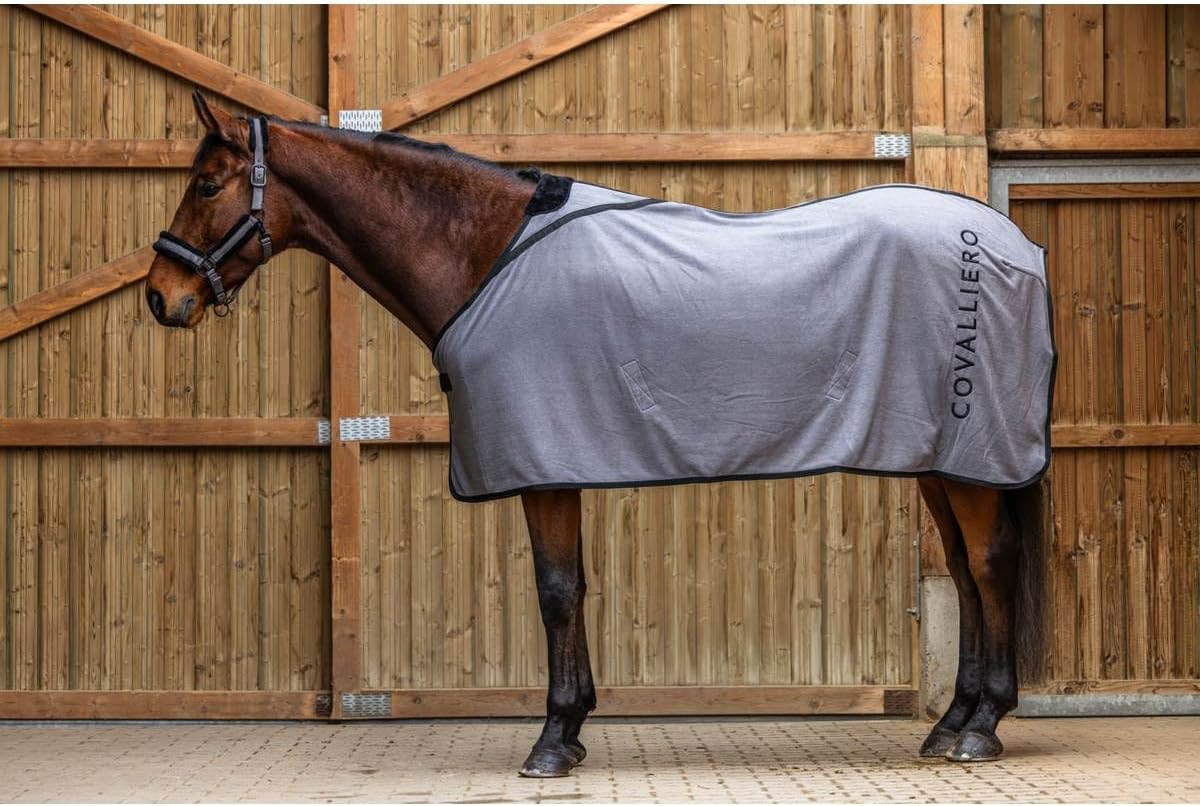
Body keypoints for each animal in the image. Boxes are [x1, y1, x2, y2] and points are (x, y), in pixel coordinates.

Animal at [145, 91, 1051, 778]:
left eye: (208, 183)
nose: (160, 296)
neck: (487, 256)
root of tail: (1012, 246)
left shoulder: (544, 461)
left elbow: (555, 592)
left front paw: (552, 740)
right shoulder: (558, 457)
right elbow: (572, 587)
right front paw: (574, 727)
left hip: (968, 457)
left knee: (989, 564)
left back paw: (980, 728)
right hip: (938, 458)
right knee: (966, 572)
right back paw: (951, 722)